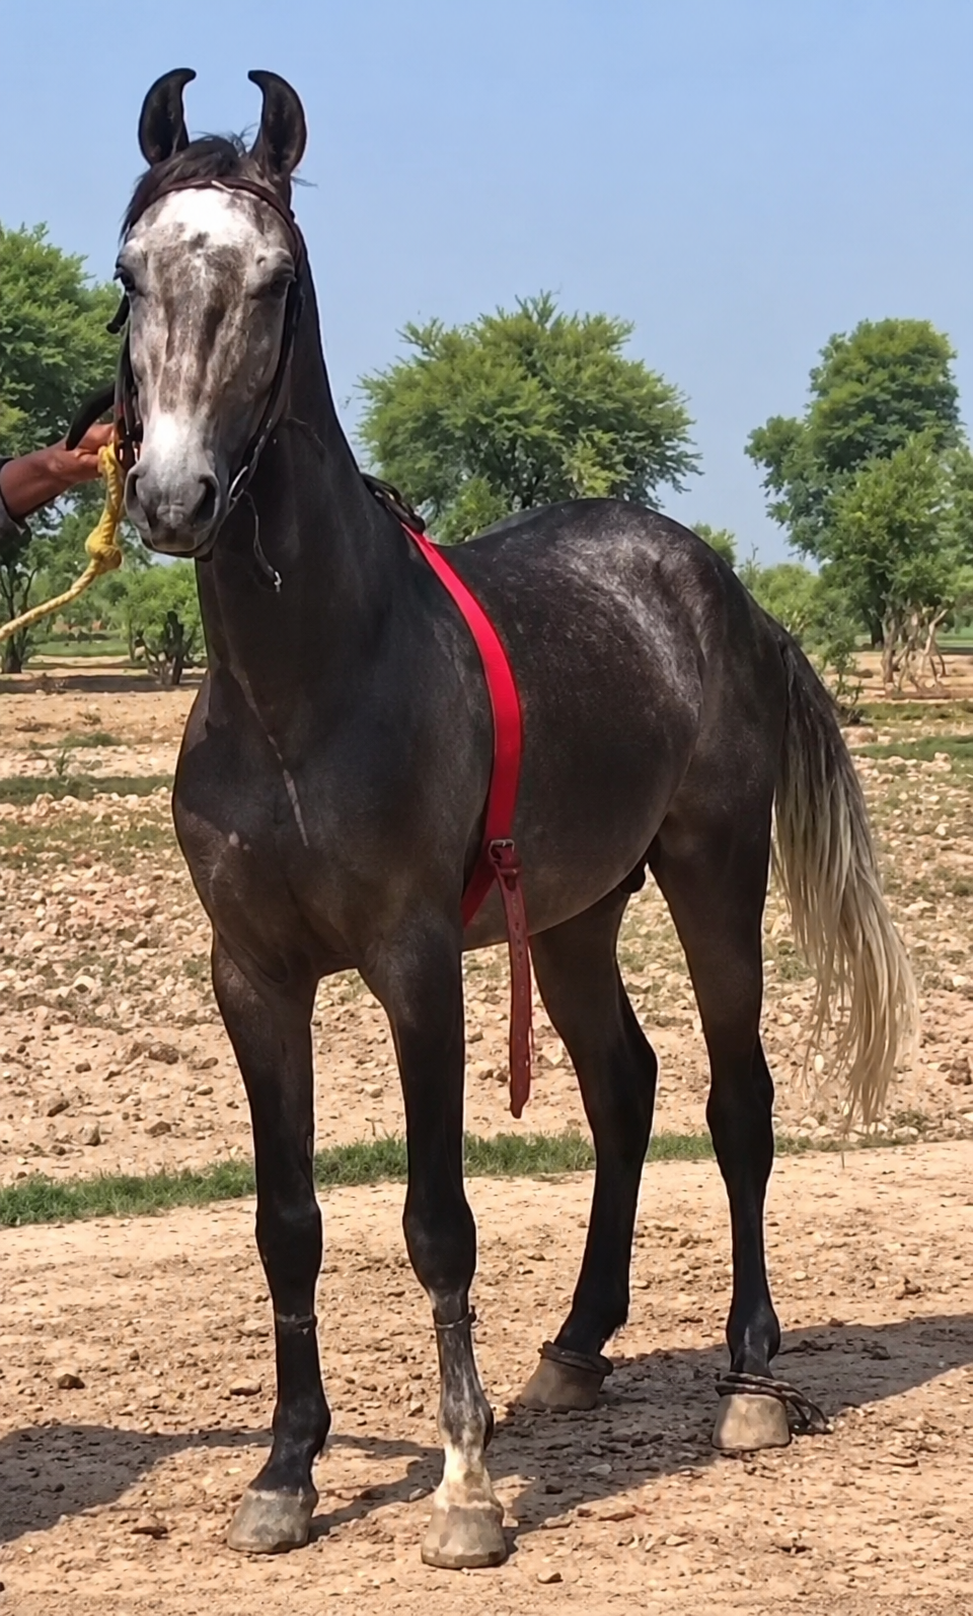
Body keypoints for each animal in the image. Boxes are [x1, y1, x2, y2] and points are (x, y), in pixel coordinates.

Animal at [110, 67, 916, 1571]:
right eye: (129, 273)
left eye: (277, 277)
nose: (175, 496)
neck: (307, 689)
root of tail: (715, 584)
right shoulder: (251, 978)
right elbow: (286, 1220)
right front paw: (286, 1472)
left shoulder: (416, 968)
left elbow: (437, 1220)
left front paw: (466, 1488)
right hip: (582, 913)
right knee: (624, 1088)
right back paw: (576, 1348)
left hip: (711, 874)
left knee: (734, 1099)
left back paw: (748, 1378)